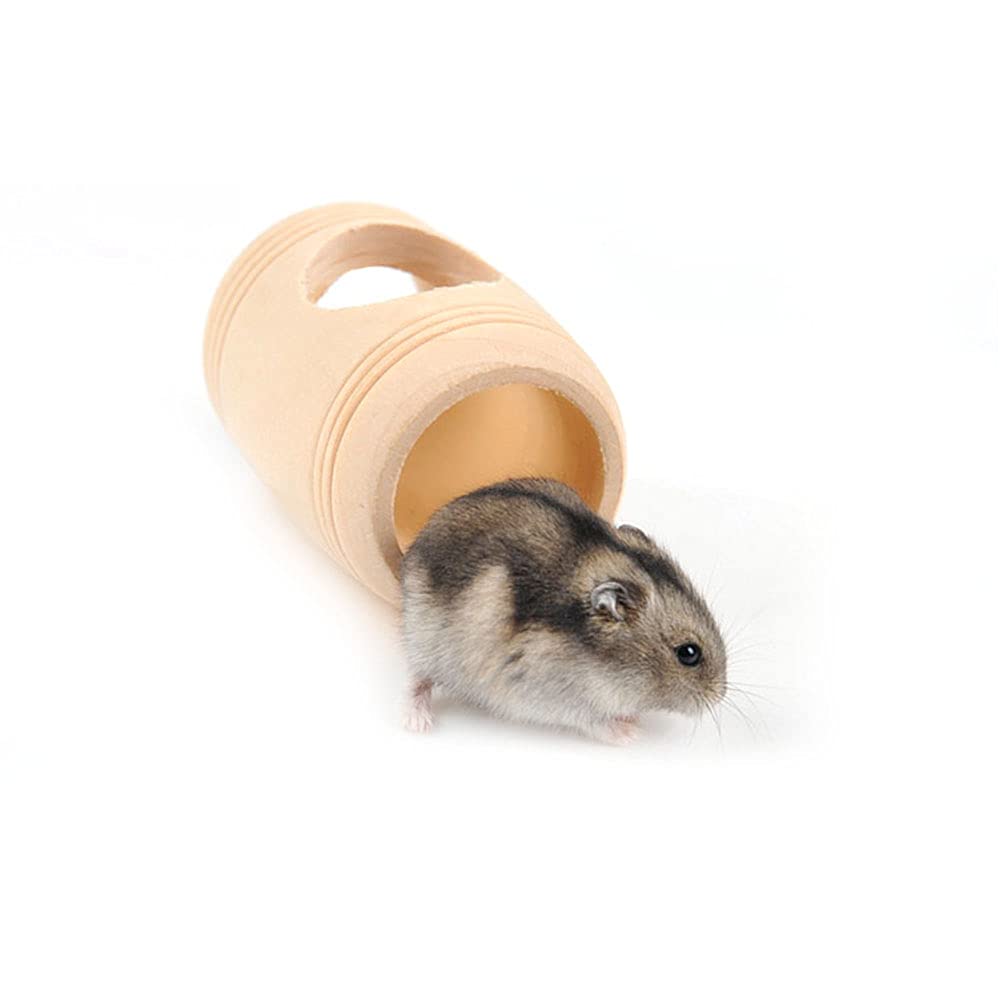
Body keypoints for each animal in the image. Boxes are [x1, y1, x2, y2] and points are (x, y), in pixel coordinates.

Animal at [400, 477, 726, 744]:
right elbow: (595, 721)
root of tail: (415, 551)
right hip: (426, 639)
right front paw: (632, 733)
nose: (719, 694)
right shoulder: (557, 697)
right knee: (416, 677)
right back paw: (418, 724)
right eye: (688, 653)